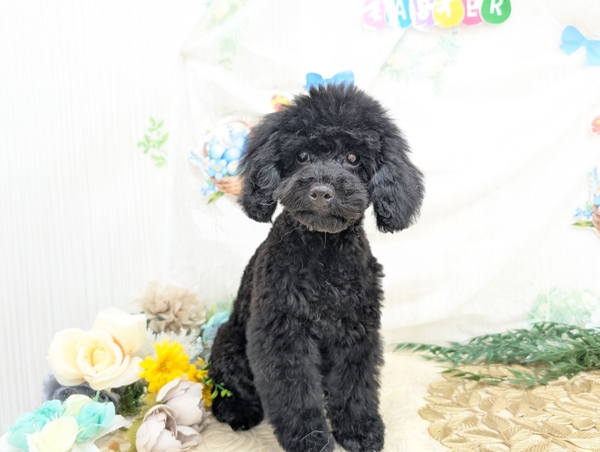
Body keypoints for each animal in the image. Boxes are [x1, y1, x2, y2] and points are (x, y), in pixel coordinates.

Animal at [208, 83, 424, 452]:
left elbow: (355, 385)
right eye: (302, 156)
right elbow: (294, 393)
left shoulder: (355, 331)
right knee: (227, 386)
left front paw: (359, 430)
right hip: (230, 343)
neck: (324, 255)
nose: (321, 191)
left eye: (353, 158)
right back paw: (238, 410)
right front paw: (309, 440)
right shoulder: (283, 335)